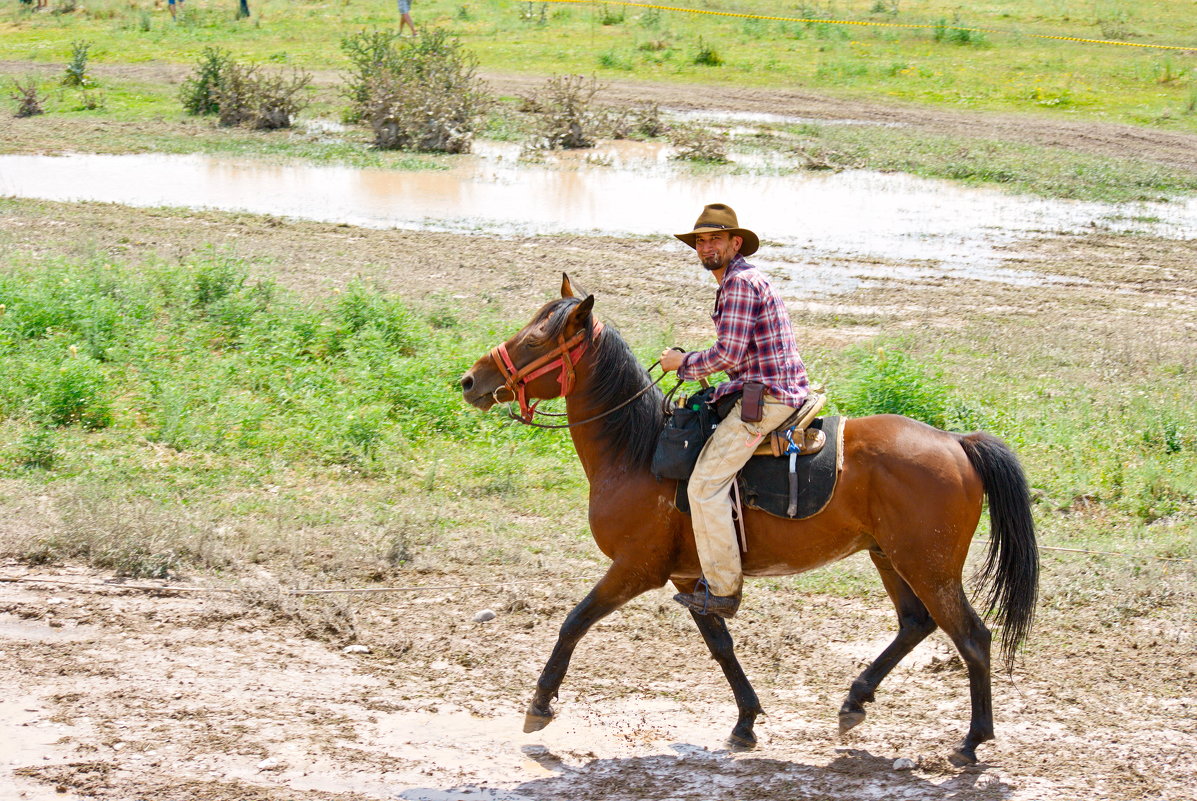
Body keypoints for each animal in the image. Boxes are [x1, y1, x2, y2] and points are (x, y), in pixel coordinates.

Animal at [457, 277, 1038, 766]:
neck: (637, 452)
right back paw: (855, 700)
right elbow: (721, 645)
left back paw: (971, 741)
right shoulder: (690, 576)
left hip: (928, 566)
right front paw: (746, 721)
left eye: (536, 340)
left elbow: (574, 620)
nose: (470, 381)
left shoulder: (636, 569)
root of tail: (958, 443)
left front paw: (540, 703)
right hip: (889, 556)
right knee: (916, 623)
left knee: (971, 637)